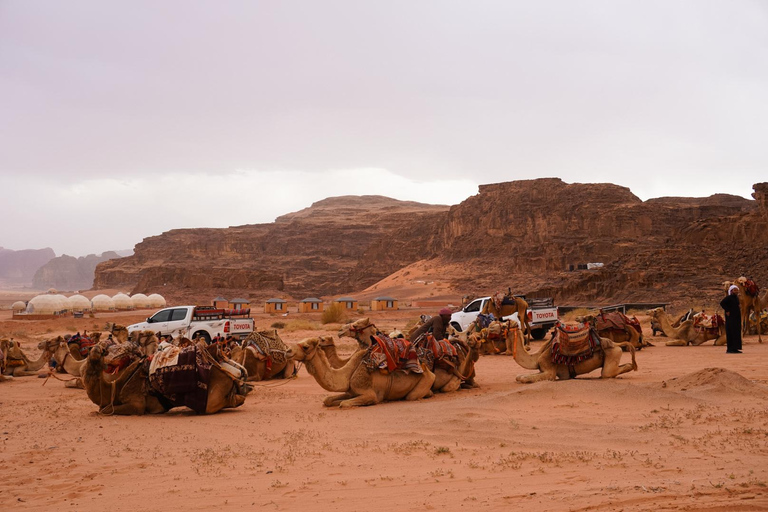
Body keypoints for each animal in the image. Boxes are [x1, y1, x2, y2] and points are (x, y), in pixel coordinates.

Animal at [290, 336, 436, 408]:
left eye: (305, 346)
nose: (288, 351)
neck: (349, 373)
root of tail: (429, 370)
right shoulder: (350, 391)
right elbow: (328, 400)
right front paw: (333, 401)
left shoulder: (369, 393)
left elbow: (344, 404)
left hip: (424, 381)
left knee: (412, 396)